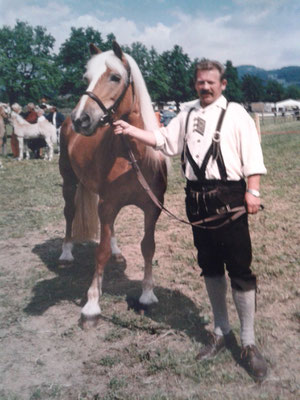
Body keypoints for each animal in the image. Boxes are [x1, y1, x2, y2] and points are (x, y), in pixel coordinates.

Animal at [57, 40, 168, 326]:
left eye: (115, 77)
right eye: (86, 78)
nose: (81, 119)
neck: (132, 156)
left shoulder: (151, 209)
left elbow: (148, 247)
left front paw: (147, 295)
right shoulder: (107, 205)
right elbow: (101, 252)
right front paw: (92, 304)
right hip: (69, 182)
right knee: (69, 213)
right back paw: (66, 253)